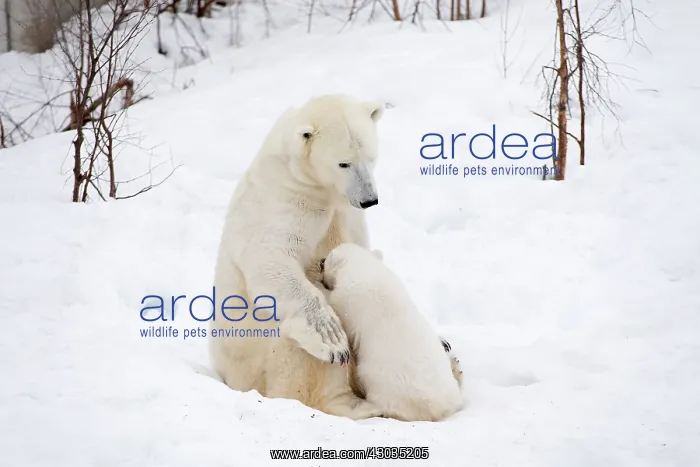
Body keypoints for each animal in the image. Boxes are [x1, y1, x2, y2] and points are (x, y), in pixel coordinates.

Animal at [209, 94, 386, 419]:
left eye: (371, 157)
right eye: (343, 162)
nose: (369, 200)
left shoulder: (345, 214)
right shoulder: (282, 201)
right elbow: (271, 260)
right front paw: (332, 339)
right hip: (260, 364)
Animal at [320, 243, 464, 422]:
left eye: (327, 258)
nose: (320, 261)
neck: (367, 268)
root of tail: (441, 409)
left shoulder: (347, 300)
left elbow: (338, 306)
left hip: (384, 385)